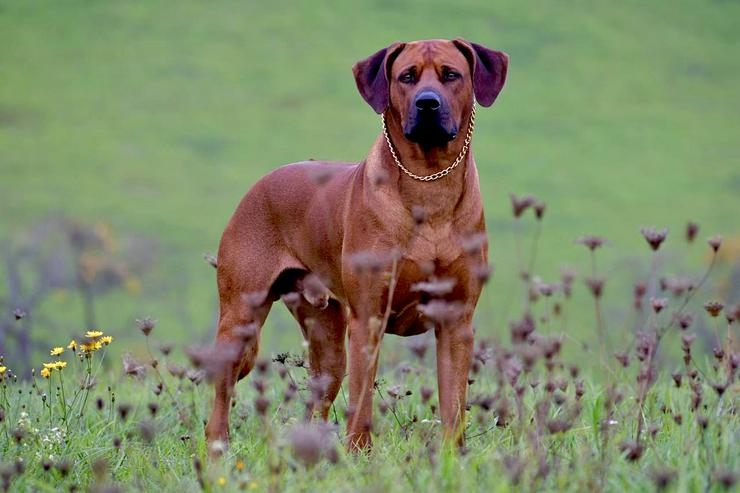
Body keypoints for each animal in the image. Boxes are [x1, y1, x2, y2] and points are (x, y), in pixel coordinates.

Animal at [207, 38, 508, 452]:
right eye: (407, 76)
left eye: (451, 75)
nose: (427, 104)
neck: (429, 182)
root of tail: (260, 184)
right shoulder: (368, 319)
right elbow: (362, 402)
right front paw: (358, 453)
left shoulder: (456, 321)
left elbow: (454, 404)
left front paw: (452, 456)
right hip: (239, 318)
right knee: (220, 400)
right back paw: (217, 449)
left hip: (327, 339)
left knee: (319, 395)